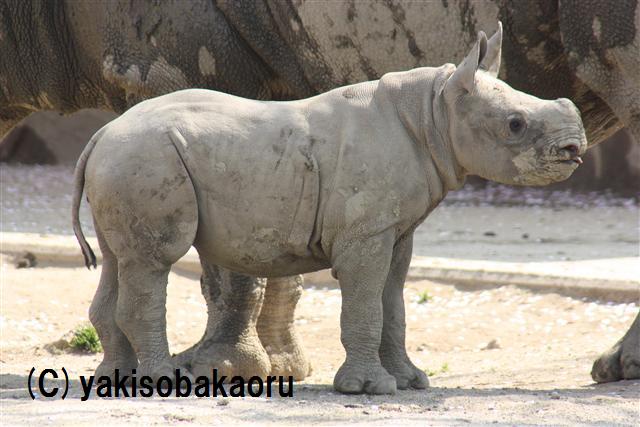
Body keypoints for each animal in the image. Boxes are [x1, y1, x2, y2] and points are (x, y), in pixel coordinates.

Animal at [72, 25, 588, 394]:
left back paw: (115, 383)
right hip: (146, 156)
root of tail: (99, 135)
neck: (434, 111)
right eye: (515, 124)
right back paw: (161, 384)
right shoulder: (366, 232)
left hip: (126, 160)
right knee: (155, 260)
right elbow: (366, 302)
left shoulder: (395, 229)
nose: (574, 150)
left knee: (120, 260)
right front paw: (368, 389)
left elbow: (393, 301)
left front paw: (411, 382)